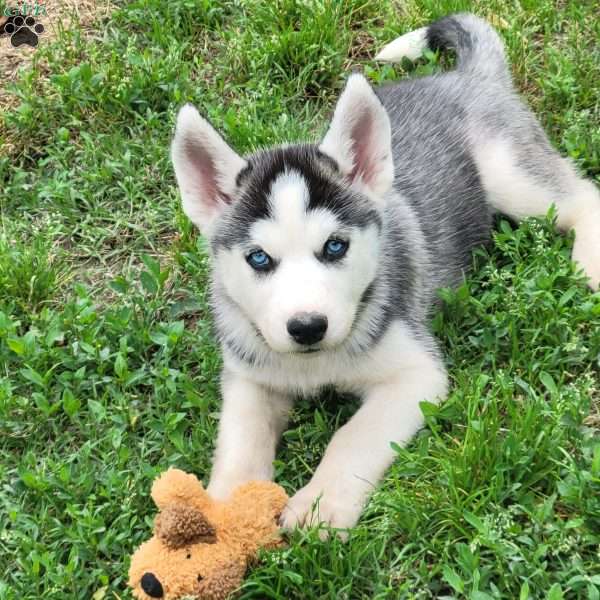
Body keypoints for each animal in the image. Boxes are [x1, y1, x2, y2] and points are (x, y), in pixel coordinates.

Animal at [169, 14, 600, 536]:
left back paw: (590, 262)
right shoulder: (249, 374)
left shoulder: (416, 373)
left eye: (335, 246)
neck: (317, 365)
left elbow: (353, 436)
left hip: (511, 176)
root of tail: (465, 77)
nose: (307, 327)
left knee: (582, 195)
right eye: (258, 259)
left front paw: (321, 506)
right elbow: (239, 441)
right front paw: (223, 515)